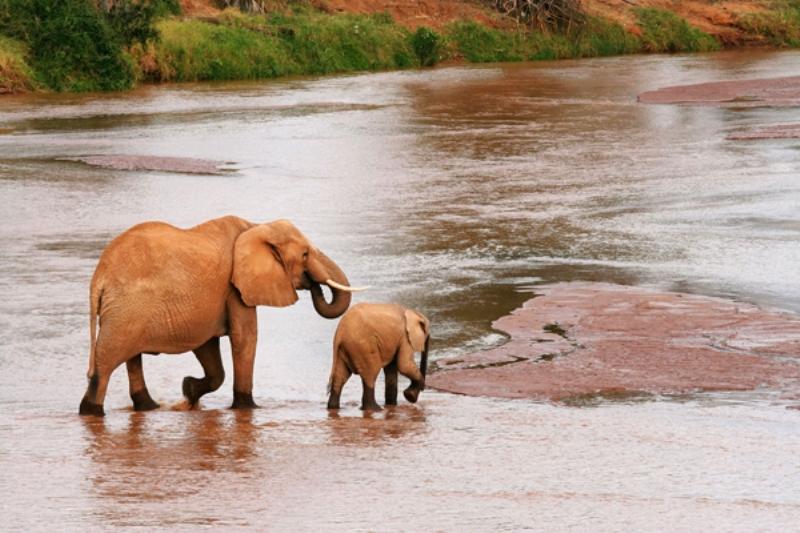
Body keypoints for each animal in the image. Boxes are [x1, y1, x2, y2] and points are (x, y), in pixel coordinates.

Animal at [79, 216, 362, 416]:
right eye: (305, 254)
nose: (314, 285)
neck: (255, 226)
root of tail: (99, 278)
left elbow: (209, 348)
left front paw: (188, 390)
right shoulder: (235, 287)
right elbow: (245, 338)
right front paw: (247, 408)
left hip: (126, 311)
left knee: (131, 358)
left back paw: (150, 407)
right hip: (126, 311)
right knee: (106, 362)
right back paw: (92, 411)